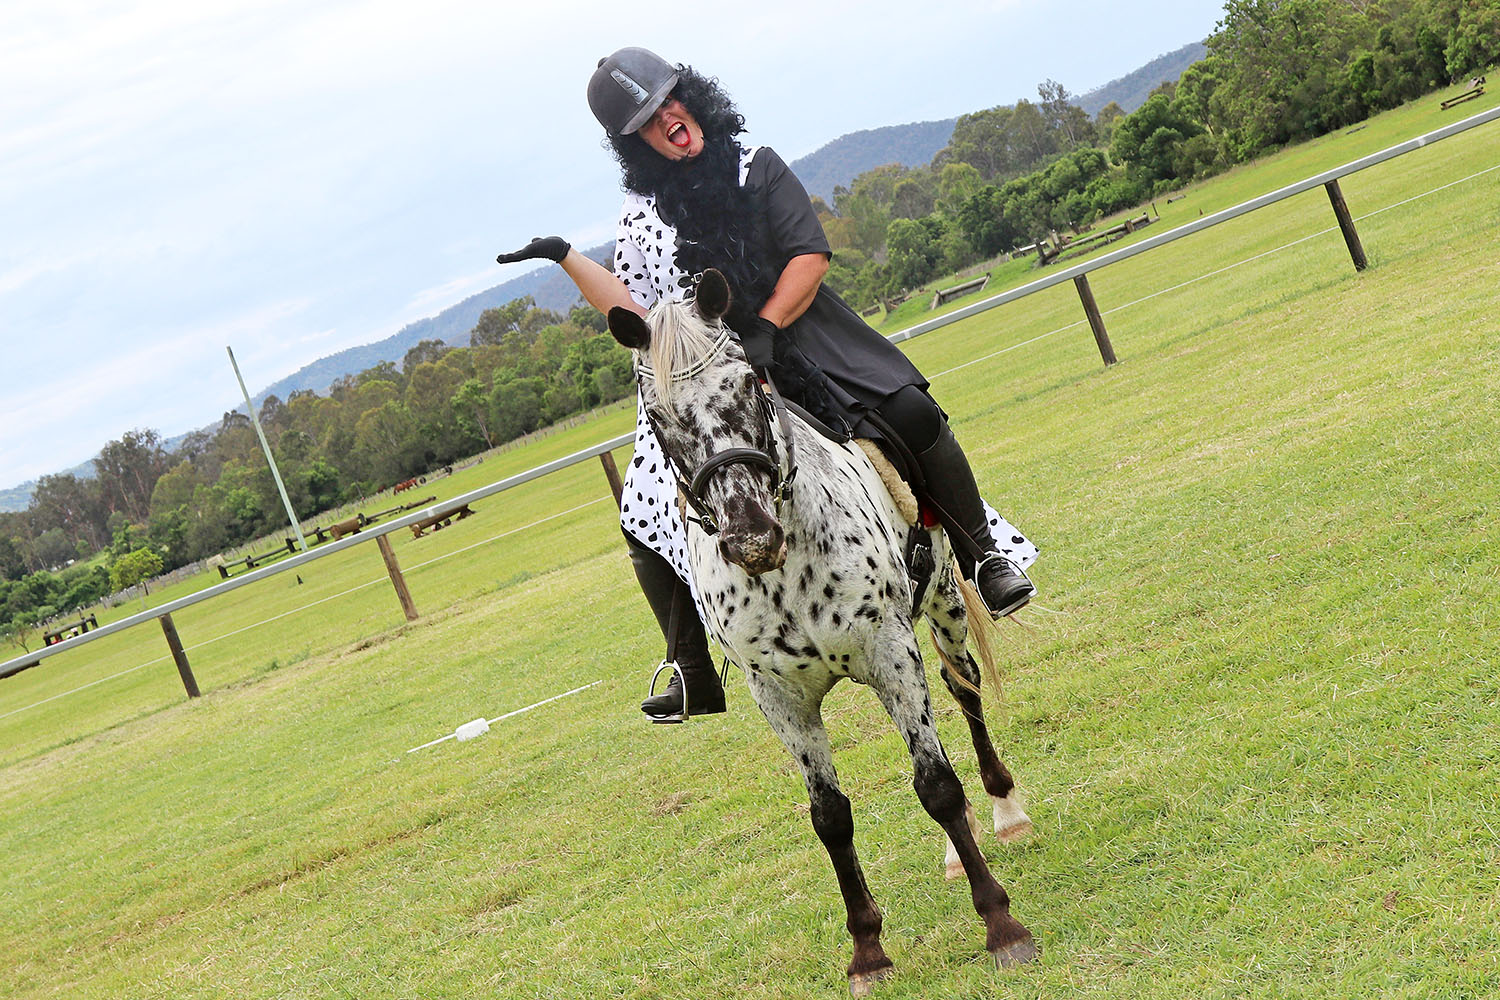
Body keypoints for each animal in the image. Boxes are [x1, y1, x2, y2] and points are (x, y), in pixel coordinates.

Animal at [603, 268, 1038, 995]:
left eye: (747, 381)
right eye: (657, 417)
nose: (750, 535)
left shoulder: (891, 652)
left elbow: (937, 785)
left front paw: (1001, 925)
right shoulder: (779, 697)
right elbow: (830, 816)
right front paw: (868, 952)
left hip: (942, 604)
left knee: (965, 692)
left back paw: (1004, 813)